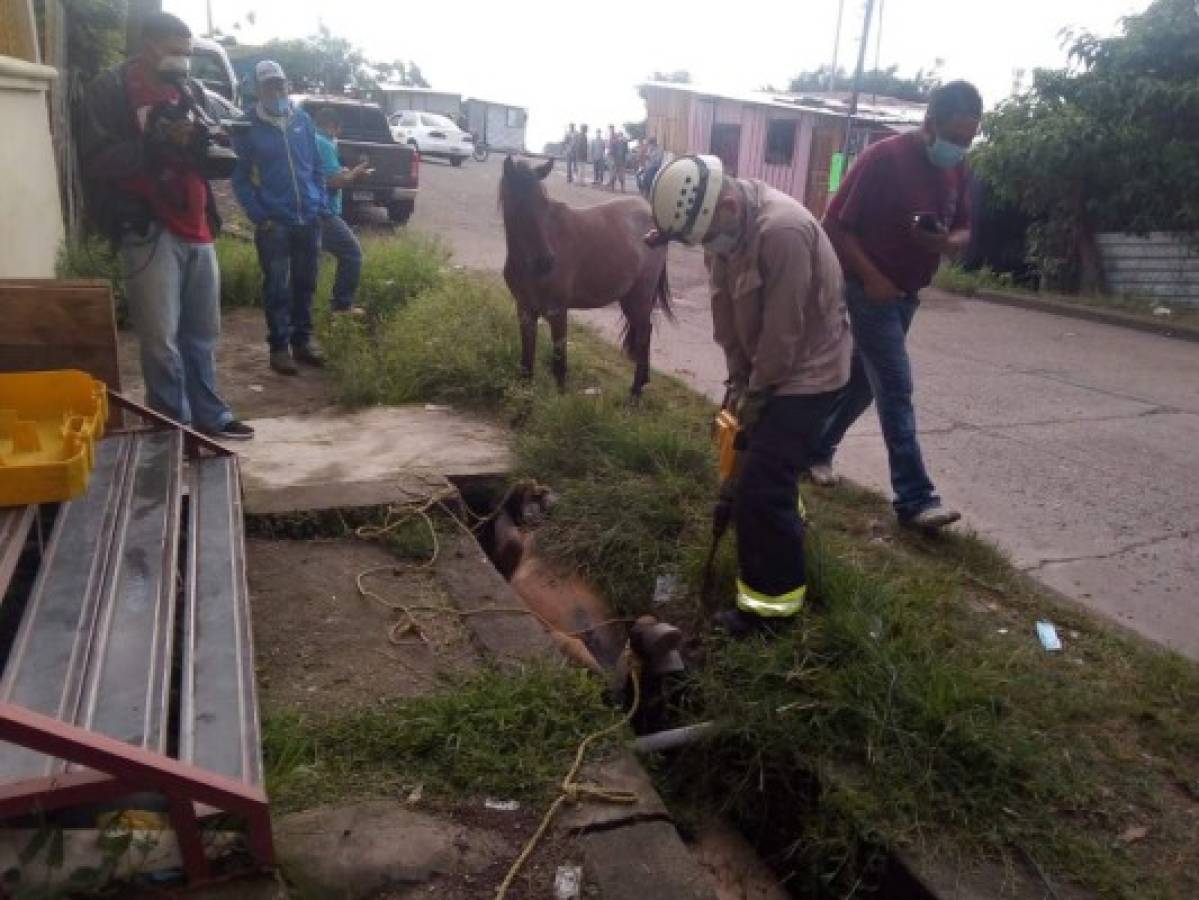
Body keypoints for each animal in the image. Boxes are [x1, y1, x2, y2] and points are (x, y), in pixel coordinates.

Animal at [493, 155, 671, 400]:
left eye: (544, 204)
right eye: (518, 205)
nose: (545, 261)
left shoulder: (557, 312)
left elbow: (559, 364)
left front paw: (559, 402)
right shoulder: (525, 311)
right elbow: (526, 365)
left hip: (639, 297)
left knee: (644, 334)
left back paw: (635, 392)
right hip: (628, 298)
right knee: (645, 332)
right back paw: (642, 382)